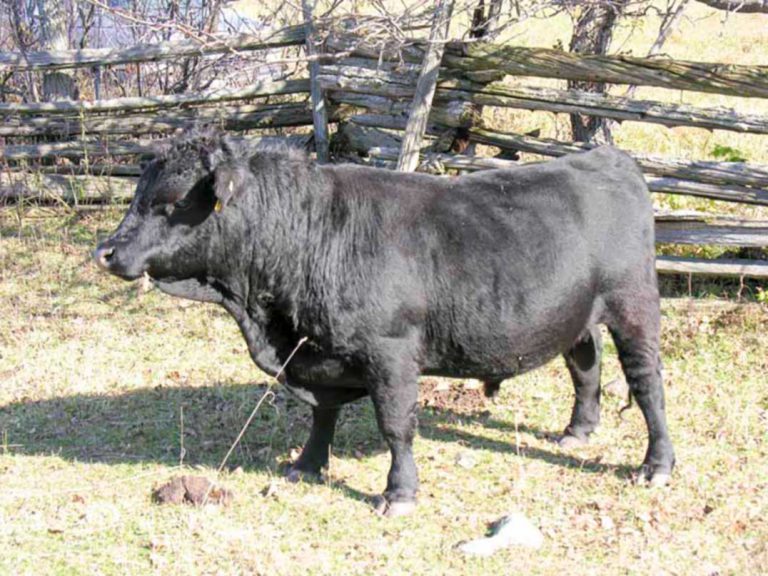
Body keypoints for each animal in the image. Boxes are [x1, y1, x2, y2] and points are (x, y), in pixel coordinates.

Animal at [93, 131, 675, 517]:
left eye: (170, 202)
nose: (106, 252)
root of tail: (605, 156)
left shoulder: (390, 352)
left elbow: (395, 426)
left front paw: (398, 493)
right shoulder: (317, 353)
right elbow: (322, 415)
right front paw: (307, 464)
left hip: (635, 305)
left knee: (647, 384)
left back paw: (656, 464)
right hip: (578, 311)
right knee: (585, 364)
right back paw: (577, 431)